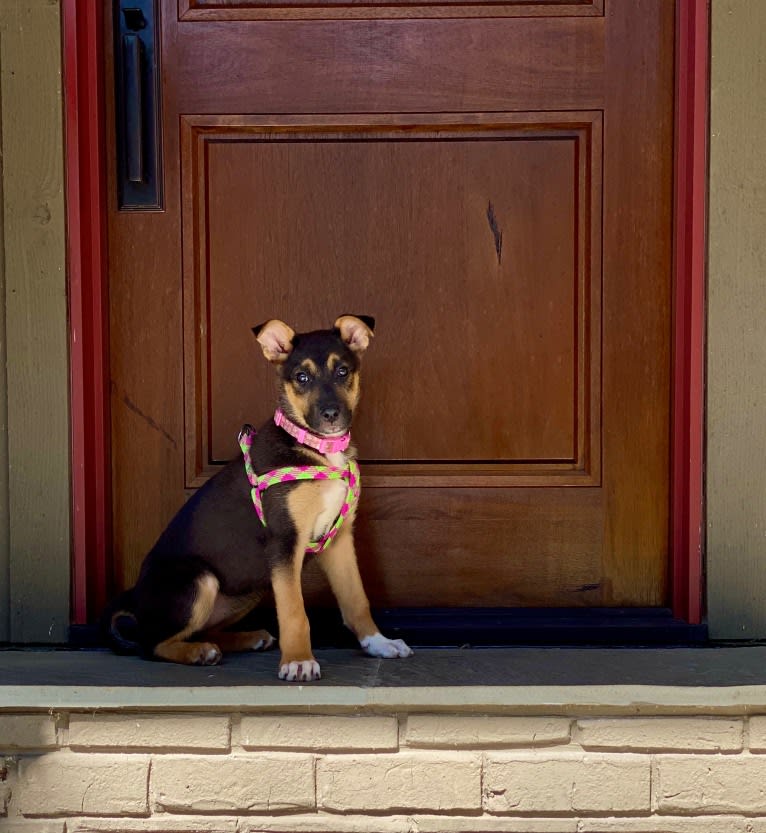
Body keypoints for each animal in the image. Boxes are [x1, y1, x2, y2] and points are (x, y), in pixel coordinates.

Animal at [104, 316, 414, 680]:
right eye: (302, 377)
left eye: (342, 371)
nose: (331, 415)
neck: (316, 447)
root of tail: (134, 597)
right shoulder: (284, 541)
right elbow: (294, 611)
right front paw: (298, 661)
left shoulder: (339, 540)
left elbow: (356, 600)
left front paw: (378, 643)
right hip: (200, 579)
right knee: (150, 643)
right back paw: (198, 652)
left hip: (251, 587)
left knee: (201, 630)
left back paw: (243, 639)